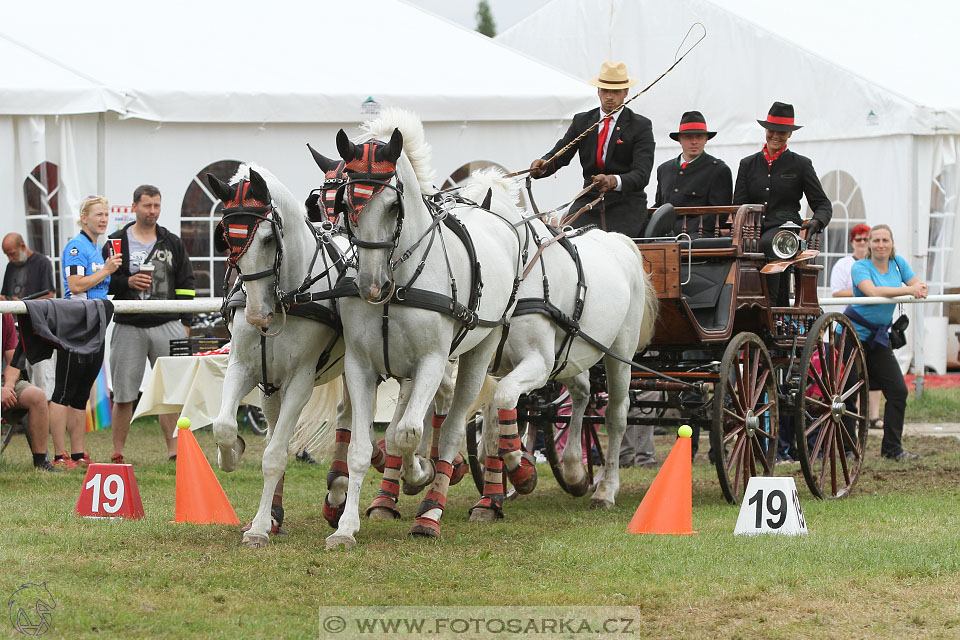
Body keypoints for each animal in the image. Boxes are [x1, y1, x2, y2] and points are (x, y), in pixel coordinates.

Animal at [316, 107, 524, 548]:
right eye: (346, 202)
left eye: (394, 205)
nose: (370, 285)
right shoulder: (361, 366)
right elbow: (361, 446)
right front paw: (346, 527)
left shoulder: (430, 360)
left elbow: (407, 432)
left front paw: (418, 474)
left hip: (480, 350)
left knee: (452, 426)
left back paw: (432, 509)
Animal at [464, 169, 660, 516]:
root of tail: (619, 240)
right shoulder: (495, 367)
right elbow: (491, 428)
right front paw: (490, 500)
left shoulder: (538, 363)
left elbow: (503, 402)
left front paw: (521, 470)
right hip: (572, 355)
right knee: (582, 396)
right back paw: (574, 471)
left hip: (618, 353)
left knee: (616, 415)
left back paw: (605, 490)